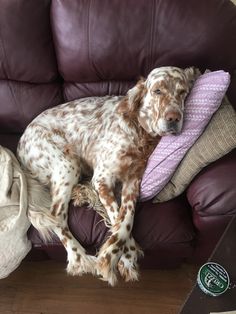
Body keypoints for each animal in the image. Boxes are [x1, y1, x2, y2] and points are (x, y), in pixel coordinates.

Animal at [17, 65, 197, 284]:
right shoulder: (102, 179)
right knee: (57, 216)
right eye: (157, 91)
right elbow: (116, 214)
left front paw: (124, 255)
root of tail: (20, 143)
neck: (138, 131)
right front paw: (121, 257)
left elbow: (126, 218)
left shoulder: (132, 181)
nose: (174, 118)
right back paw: (79, 257)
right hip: (67, 164)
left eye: (182, 92)